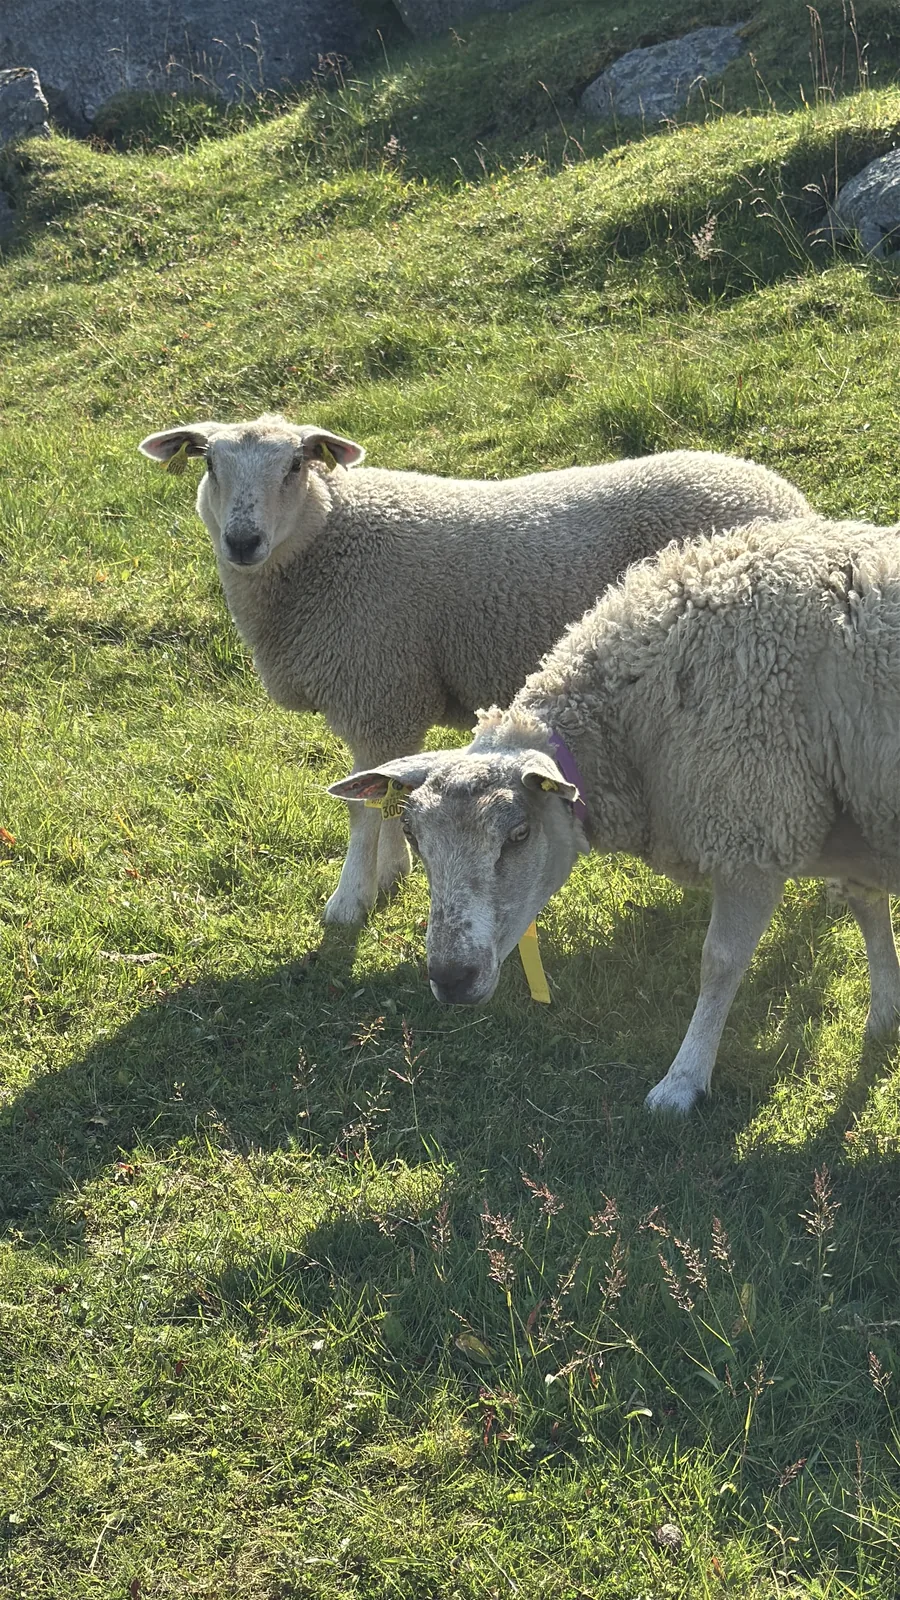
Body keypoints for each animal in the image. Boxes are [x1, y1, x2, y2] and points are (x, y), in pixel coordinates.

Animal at [138, 413, 809, 925]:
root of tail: (786, 498)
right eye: (209, 465)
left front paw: (349, 902)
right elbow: (385, 790)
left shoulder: (377, 687)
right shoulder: (387, 699)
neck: (327, 540)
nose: (242, 541)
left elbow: (362, 811)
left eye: (296, 466)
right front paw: (393, 871)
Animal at [329, 515, 900, 1113]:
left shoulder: (752, 829)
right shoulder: (853, 821)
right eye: (414, 837)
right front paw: (886, 1013)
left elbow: (719, 962)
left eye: (519, 834)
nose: (451, 977)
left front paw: (683, 1080)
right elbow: (866, 905)